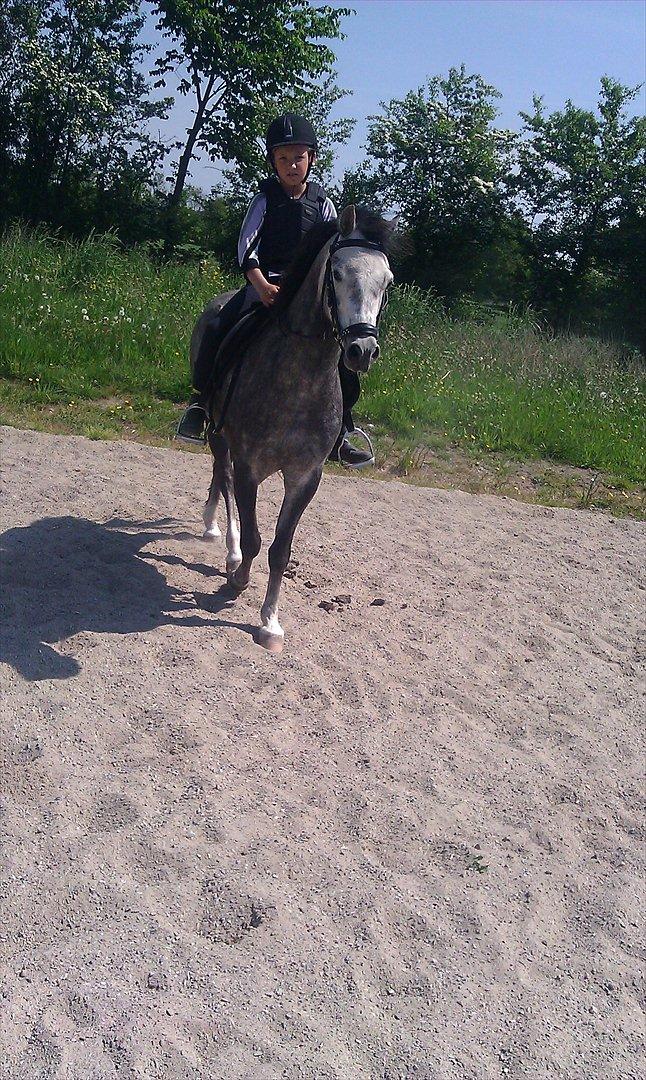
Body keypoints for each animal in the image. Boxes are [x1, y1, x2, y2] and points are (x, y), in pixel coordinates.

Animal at [190, 204, 394, 653]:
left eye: (386, 282)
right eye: (338, 273)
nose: (362, 350)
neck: (298, 378)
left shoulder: (305, 476)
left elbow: (280, 550)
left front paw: (270, 622)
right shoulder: (249, 464)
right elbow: (253, 536)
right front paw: (237, 579)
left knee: (218, 476)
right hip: (218, 433)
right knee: (223, 479)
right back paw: (225, 542)